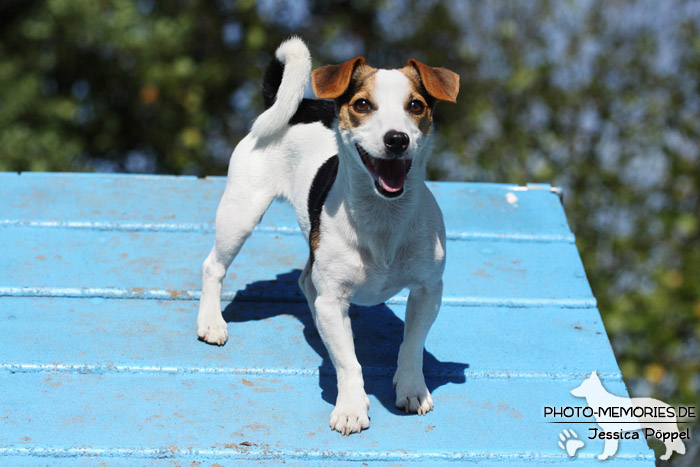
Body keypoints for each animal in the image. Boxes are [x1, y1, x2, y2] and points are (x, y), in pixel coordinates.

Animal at [197, 36, 460, 436]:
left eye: (416, 105)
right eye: (363, 104)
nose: (397, 139)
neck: (383, 215)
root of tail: (298, 105)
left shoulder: (428, 291)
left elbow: (412, 345)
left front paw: (412, 388)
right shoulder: (334, 301)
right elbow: (349, 362)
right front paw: (351, 407)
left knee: (306, 282)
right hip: (240, 214)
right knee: (214, 266)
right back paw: (211, 322)